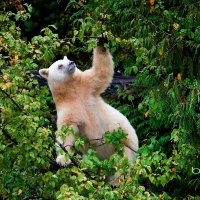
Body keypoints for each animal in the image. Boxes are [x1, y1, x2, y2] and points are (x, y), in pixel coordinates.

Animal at [39, 34, 139, 186]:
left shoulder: (87, 86)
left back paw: (116, 181)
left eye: (67, 59)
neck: (72, 90)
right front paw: (62, 160)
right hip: (95, 158)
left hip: (126, 141)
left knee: (122, 161)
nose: (72, 63)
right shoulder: (67, 109)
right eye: (60, 65)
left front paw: (101, 41)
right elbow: (66, 131)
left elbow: (101, 72)